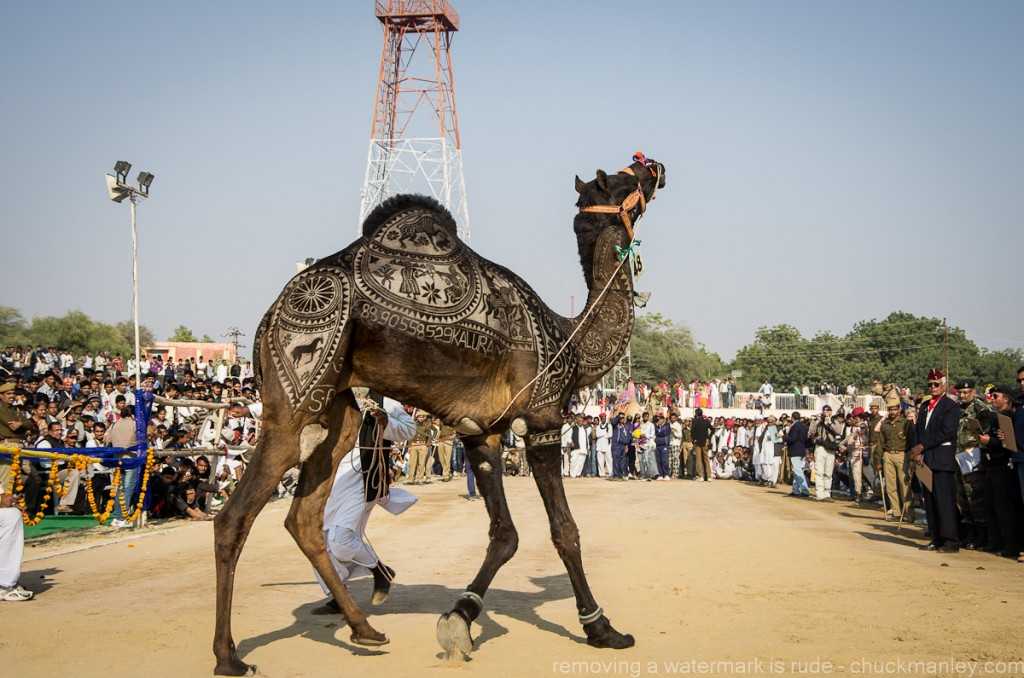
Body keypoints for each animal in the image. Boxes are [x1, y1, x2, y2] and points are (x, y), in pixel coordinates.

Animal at [211, 155, 667, 675]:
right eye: (625, 179)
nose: (656, 166)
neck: (567, 339)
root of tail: (268, 320)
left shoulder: (481, 433)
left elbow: (504, 534)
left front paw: (460, 618)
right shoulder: (542, 421)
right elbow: (564, 531)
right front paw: (601, 628)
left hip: (335, 408)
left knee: (306, 516)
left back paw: (365, 629)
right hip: (296, 390)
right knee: (234, 517)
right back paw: (229, 655)